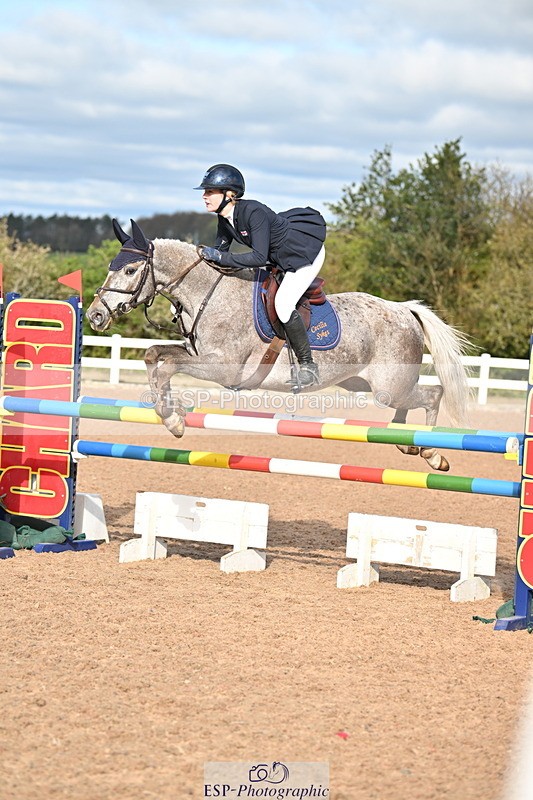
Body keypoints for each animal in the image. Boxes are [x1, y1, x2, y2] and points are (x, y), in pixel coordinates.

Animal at [87, 219, 471, 472]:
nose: (94, 316)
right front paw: (173, 415)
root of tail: (404, 309)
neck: (210, 292)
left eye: (130, 271)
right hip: (363, 383)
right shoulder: (199, 355)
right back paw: (405, 440)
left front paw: (174, 419)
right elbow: (155, 356)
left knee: (433, 393)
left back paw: (432, 452)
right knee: (410, 403)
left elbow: (168, 366)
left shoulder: (223, 367)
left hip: (389, 385)